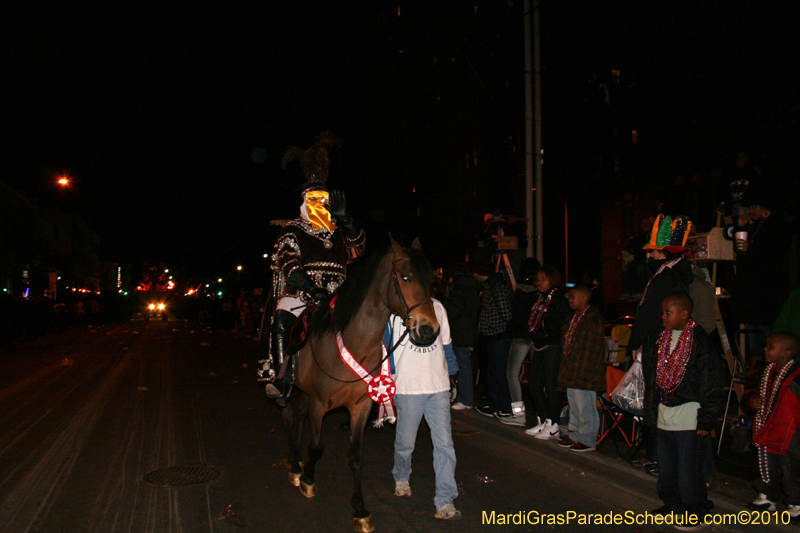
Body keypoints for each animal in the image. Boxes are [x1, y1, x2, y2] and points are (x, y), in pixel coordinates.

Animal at [276, 238, 440, 532]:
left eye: (430, 279)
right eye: (406, 277)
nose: (428, 330)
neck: (355, 343)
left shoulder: (360, 407)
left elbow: (356, 456)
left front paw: (360, 510)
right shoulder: (320, 403)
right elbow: (316, 447)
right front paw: (308, 480)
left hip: (305, 392)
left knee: (299, 416)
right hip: (292, 389)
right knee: (289, 415)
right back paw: (295, 467)